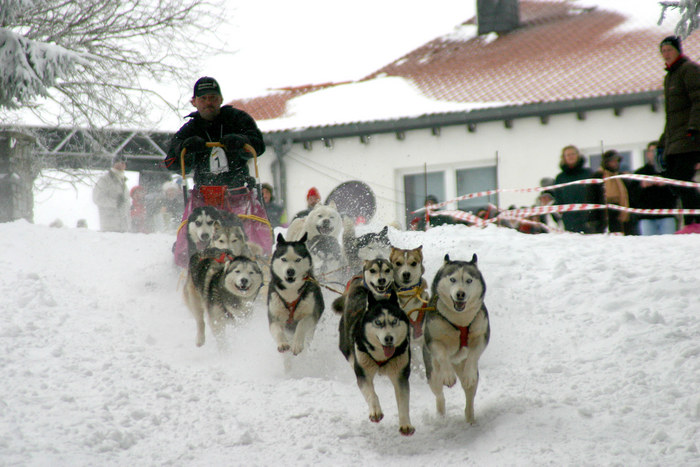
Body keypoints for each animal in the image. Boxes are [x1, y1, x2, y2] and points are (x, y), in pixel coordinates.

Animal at [338, 292, 412, 436]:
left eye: (394, 321)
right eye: (378, 322)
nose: (389, 338)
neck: (382, 357)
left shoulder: (400, 375)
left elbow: (403, 401)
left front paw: (406, 424)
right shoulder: (363, 373)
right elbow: (371, 393)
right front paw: (375, 411)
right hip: (347, 349)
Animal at [422, 254, 492, 426]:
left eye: (468, 280)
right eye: (452, 279)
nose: (460, 294)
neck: (460, 320)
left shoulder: (481, 334)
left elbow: (473, 354)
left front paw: (468, 375)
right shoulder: (433, 340)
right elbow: (442, 354)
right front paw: (448, 376)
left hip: (466, 370)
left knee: (470, 397)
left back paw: (470, 418)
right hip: (433, 374)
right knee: (439, 394)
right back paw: (441, 415)